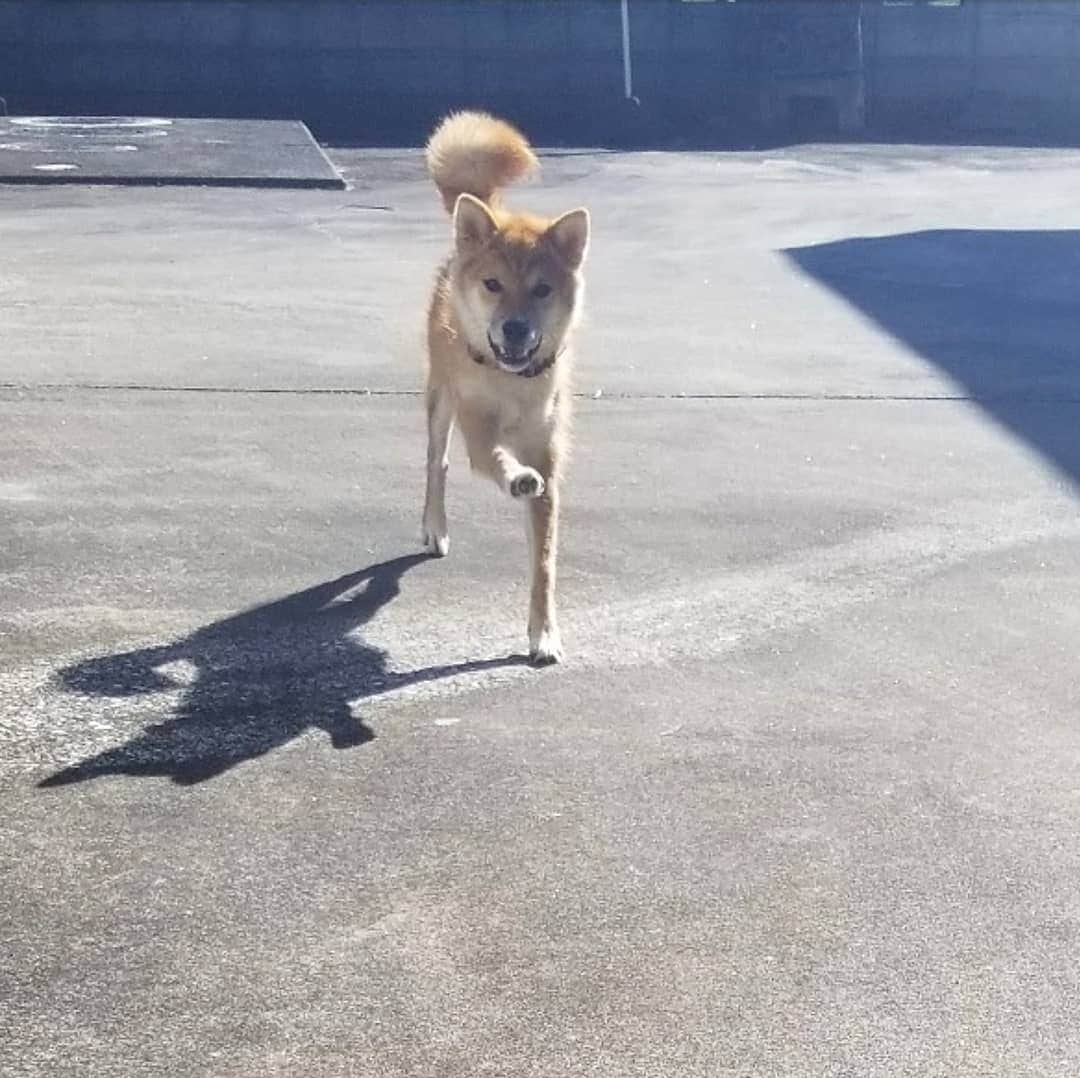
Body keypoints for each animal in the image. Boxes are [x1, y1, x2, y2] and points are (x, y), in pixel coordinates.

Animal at [421, 111, 591, 665]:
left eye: (542, 289)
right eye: (493, 284)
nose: (515, 328)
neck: (513, 384)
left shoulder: (548, 459)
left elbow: (544, 562)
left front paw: (544, 634)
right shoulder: (479, 431)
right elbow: (496, 459)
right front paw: (515, 477)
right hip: (439, 399)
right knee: (437, 463)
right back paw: (435, 526)